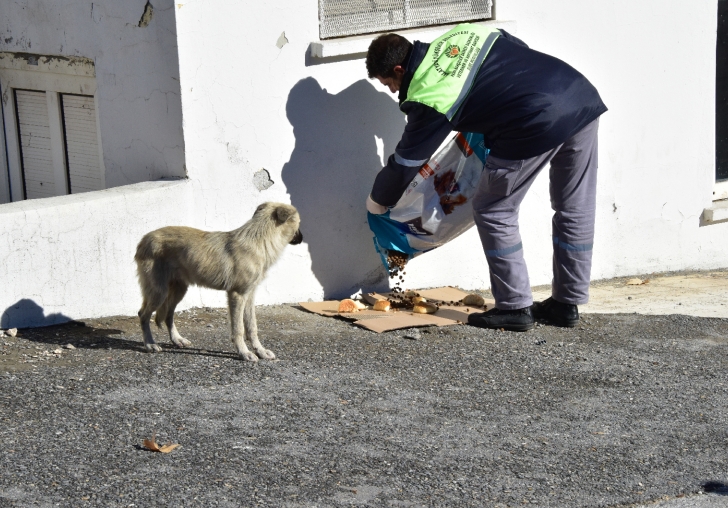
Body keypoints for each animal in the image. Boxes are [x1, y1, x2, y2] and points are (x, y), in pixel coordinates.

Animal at [135, 202, 302, 362]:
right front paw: (244, 353)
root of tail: (144, 239)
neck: (260, 239)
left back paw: (177, 339)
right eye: (299, 223)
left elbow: (252, 327)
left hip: (178, 290)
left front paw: (260, 351)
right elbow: (239, 329)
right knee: (143, 314)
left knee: (168, 315)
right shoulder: (237, 295)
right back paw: (150, 344)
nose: (302, 238)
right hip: (159, 292)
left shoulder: (249, 295)